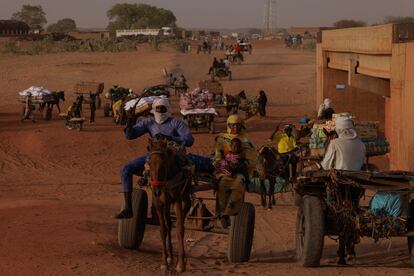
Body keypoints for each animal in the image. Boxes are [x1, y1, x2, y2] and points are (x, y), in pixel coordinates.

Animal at [147, 138, 192, 272]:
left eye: (163, 164)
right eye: (149, 163)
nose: (156, 191)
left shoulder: (177, 200)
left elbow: (180, 228)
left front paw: (180, 264)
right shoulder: (158, 203)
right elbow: (163, 229)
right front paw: (164, 262)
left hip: (185, 195)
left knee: (186, 208)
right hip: (166, 204)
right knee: (168, 224)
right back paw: (170, 256)